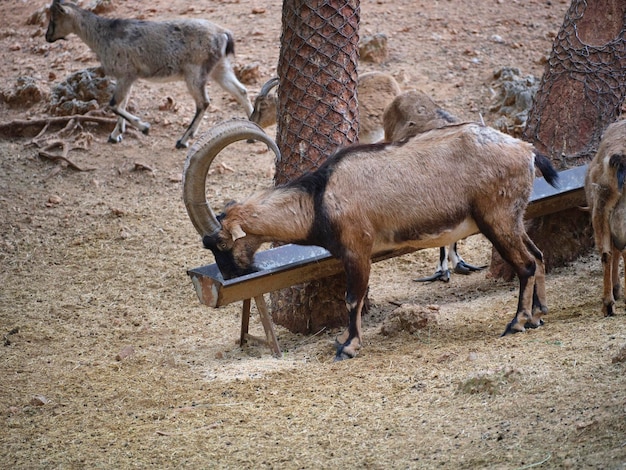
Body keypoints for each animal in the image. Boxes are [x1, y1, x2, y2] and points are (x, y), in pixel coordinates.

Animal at [43, 0, 254, 149]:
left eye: (54, 18)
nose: (47, 37)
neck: (103, 36)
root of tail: (223, 34)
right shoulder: (125, 78)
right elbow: (122, 103)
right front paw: (115, 135)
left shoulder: (127, 74)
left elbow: (113, 104)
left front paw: (143, 127)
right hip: (220, 67)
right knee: (240, 91)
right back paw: (253, 131)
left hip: (194, 72)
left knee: (204, 102)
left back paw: (183, 140)